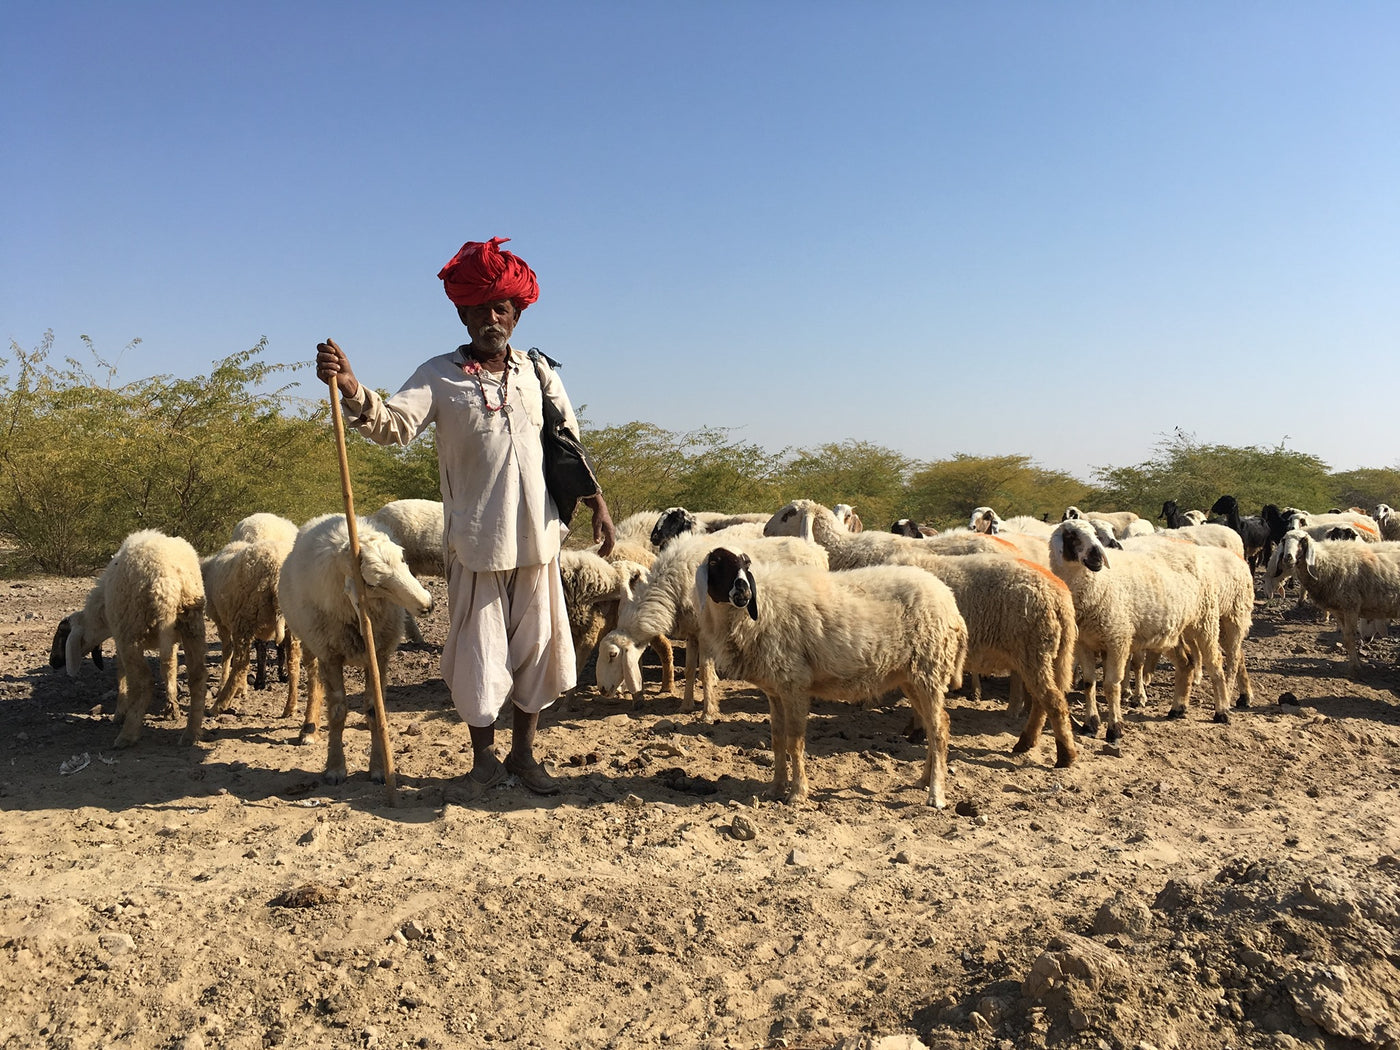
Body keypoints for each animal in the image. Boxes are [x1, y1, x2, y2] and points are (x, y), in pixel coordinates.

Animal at [61, 534, 208, 750]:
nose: (54, 663)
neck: (100, 613)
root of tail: (166, 585)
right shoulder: (171, 641)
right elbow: (169, 668)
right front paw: (171, 706)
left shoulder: (120, 636)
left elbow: (122, 673)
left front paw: (120, 712)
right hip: (192, 624)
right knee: (197, 676)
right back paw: (190, 734)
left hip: (132, 629)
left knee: (143, 682)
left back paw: (128, 734)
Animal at [277, 512, 431, 784]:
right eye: (374, 584)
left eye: (403, 560)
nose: (427, 604)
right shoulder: (331, 655)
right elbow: (337, 712)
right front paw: (335, 768)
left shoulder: (379, 656)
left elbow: (374, 710)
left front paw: (379, 768)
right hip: (312, 643)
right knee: (315, 682)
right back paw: (309, 729)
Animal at [593, 534, 828, 722]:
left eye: (613, 655)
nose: (602, 689)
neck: (672, 586)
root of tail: (816, 549)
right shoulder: (692, 632)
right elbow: (689, 669)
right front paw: (686, 705)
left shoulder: (706, 634)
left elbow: (705, 672)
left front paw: (707, 712)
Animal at [694, 546, 968, 812]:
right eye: (716, 562)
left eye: (746, 564)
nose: (743, 590)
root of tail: (951, 602)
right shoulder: (775, 689)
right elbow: (777, 739)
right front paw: (775, 789)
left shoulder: (794, 682)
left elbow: (794, 741)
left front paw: (797, 794)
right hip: (911, 677)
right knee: (936, 725)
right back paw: (923, 780)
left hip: (929, 669)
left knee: (939, 730)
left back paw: (936, 795)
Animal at [1047, 523, 1232, 744]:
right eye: (1071, 536)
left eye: (1095, 533)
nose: (1097, 557)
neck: (1096, 583)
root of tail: (1193, 548)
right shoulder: (1084, 642)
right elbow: (1089, 683)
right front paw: (1090, 724)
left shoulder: (1117, 638)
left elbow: (1111, 685)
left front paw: (1114, 729)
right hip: (1172, 631)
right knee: (1186, 663)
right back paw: (1178, 708)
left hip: (1205, 618)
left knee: (1215, 664)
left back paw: (1222, 711)